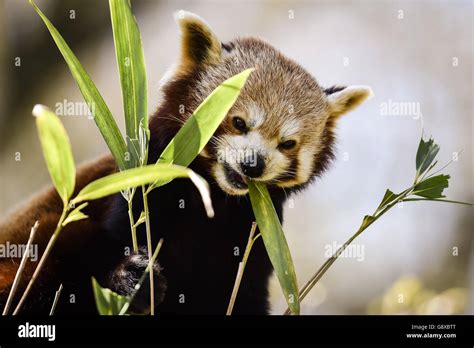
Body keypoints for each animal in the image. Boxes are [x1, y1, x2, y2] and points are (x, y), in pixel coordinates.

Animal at [0, 10, 370, 316]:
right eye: (238, 122)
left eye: (287, 143)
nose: (253, 164)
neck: (215, 201)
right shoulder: (140, 187)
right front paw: (130, 279)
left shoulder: (258, 238)